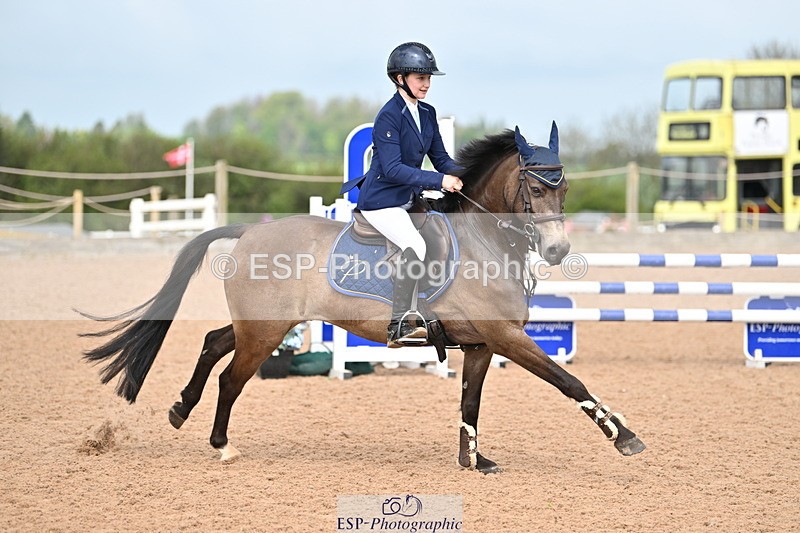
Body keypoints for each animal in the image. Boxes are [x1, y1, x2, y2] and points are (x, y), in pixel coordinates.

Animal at [80, 124, 645, 474]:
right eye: (535, 188)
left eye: (564, 187)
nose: (557, 250)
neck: (486, 240)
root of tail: (249, 231)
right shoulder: (507, 337)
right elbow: (569, 381)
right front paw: (623, 436)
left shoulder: (482, 345)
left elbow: (471, 402)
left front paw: (474, 461)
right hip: (264, 333)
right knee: (230, 376)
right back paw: (220, 445)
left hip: (261, 325)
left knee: (214, 342)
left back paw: (182, 408)